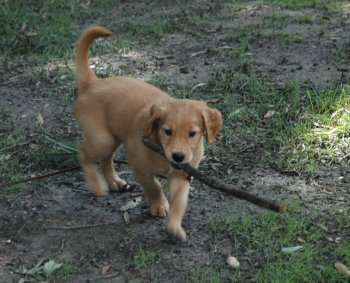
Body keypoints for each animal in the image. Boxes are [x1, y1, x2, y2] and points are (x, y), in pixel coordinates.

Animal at [73, 26, 223, 242]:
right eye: (167, 131)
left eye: (192, 133)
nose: (178, 156)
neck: (161, 152)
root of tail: (93, 83)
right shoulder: (138, 165)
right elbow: (154, 186)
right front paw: (159, 205)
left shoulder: (182, 174)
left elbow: (179, 202)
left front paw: (174, 228)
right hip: (102, 139)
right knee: (83, 152)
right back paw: (96, 185)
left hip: (113, 138)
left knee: (106, 159)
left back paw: (114, 182)